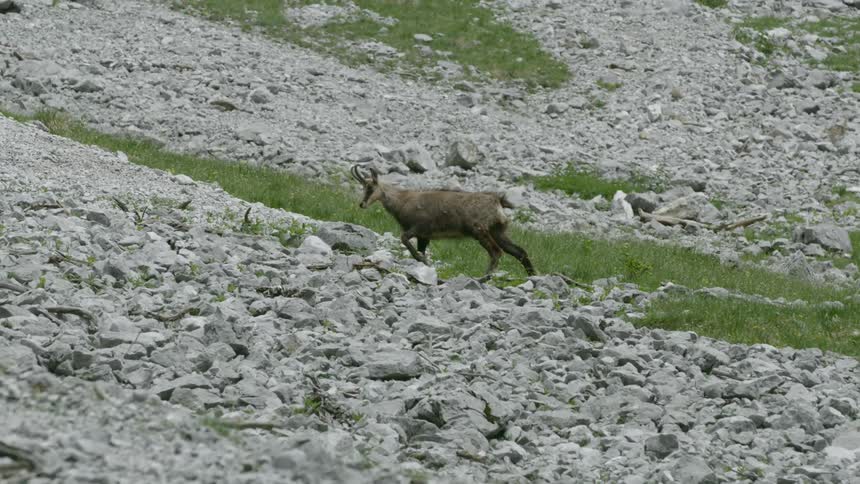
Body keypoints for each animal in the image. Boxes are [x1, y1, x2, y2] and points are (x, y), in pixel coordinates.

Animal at [350, 165, 536, 279]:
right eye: (363, 187)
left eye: (370, 187)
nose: (361, 204)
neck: (402, 201)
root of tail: (497, 201)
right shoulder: (424, 237)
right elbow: (420, 250)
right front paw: (423, 264)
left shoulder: (419, 228)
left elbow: (404, 239)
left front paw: (423, 261)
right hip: (498, 231)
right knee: (519, 252)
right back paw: (532, 275)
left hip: (479, 230)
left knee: (496, 252)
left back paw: (485, 277)